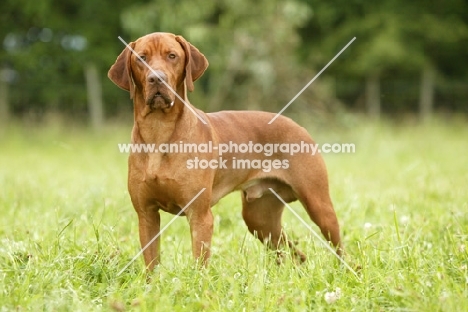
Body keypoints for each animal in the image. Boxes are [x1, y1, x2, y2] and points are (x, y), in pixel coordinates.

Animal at [107, 32, 340, 270]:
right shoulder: (147, 215)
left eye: (172, 56)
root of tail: (298, 125)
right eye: (141, 58)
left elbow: (199, 264)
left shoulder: (199, 215)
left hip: (317, 204)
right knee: (295, 254)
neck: (159, 131)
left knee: (338, 247)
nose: (156, 79)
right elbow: (151, 265)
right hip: (260, 219)